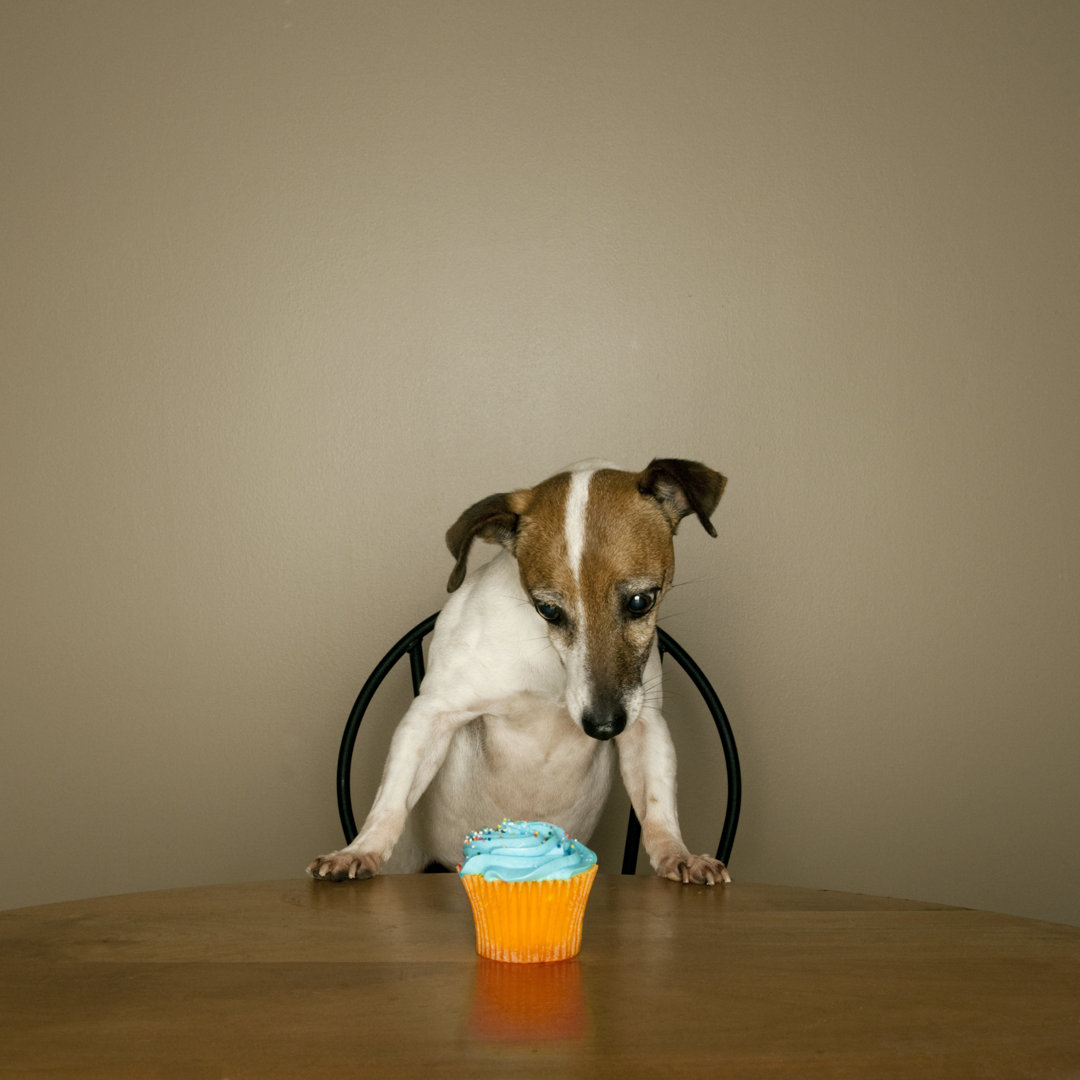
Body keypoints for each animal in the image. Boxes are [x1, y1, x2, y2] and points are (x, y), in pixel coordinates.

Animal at [311, 455, 734, 885]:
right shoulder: (432, 714)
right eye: (547, 609)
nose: (603, 727)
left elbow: (657, 808)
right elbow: (391, 801)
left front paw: (677, 855)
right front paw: (360, 850)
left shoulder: (645, 725)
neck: (550, 663)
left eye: (640, 601)